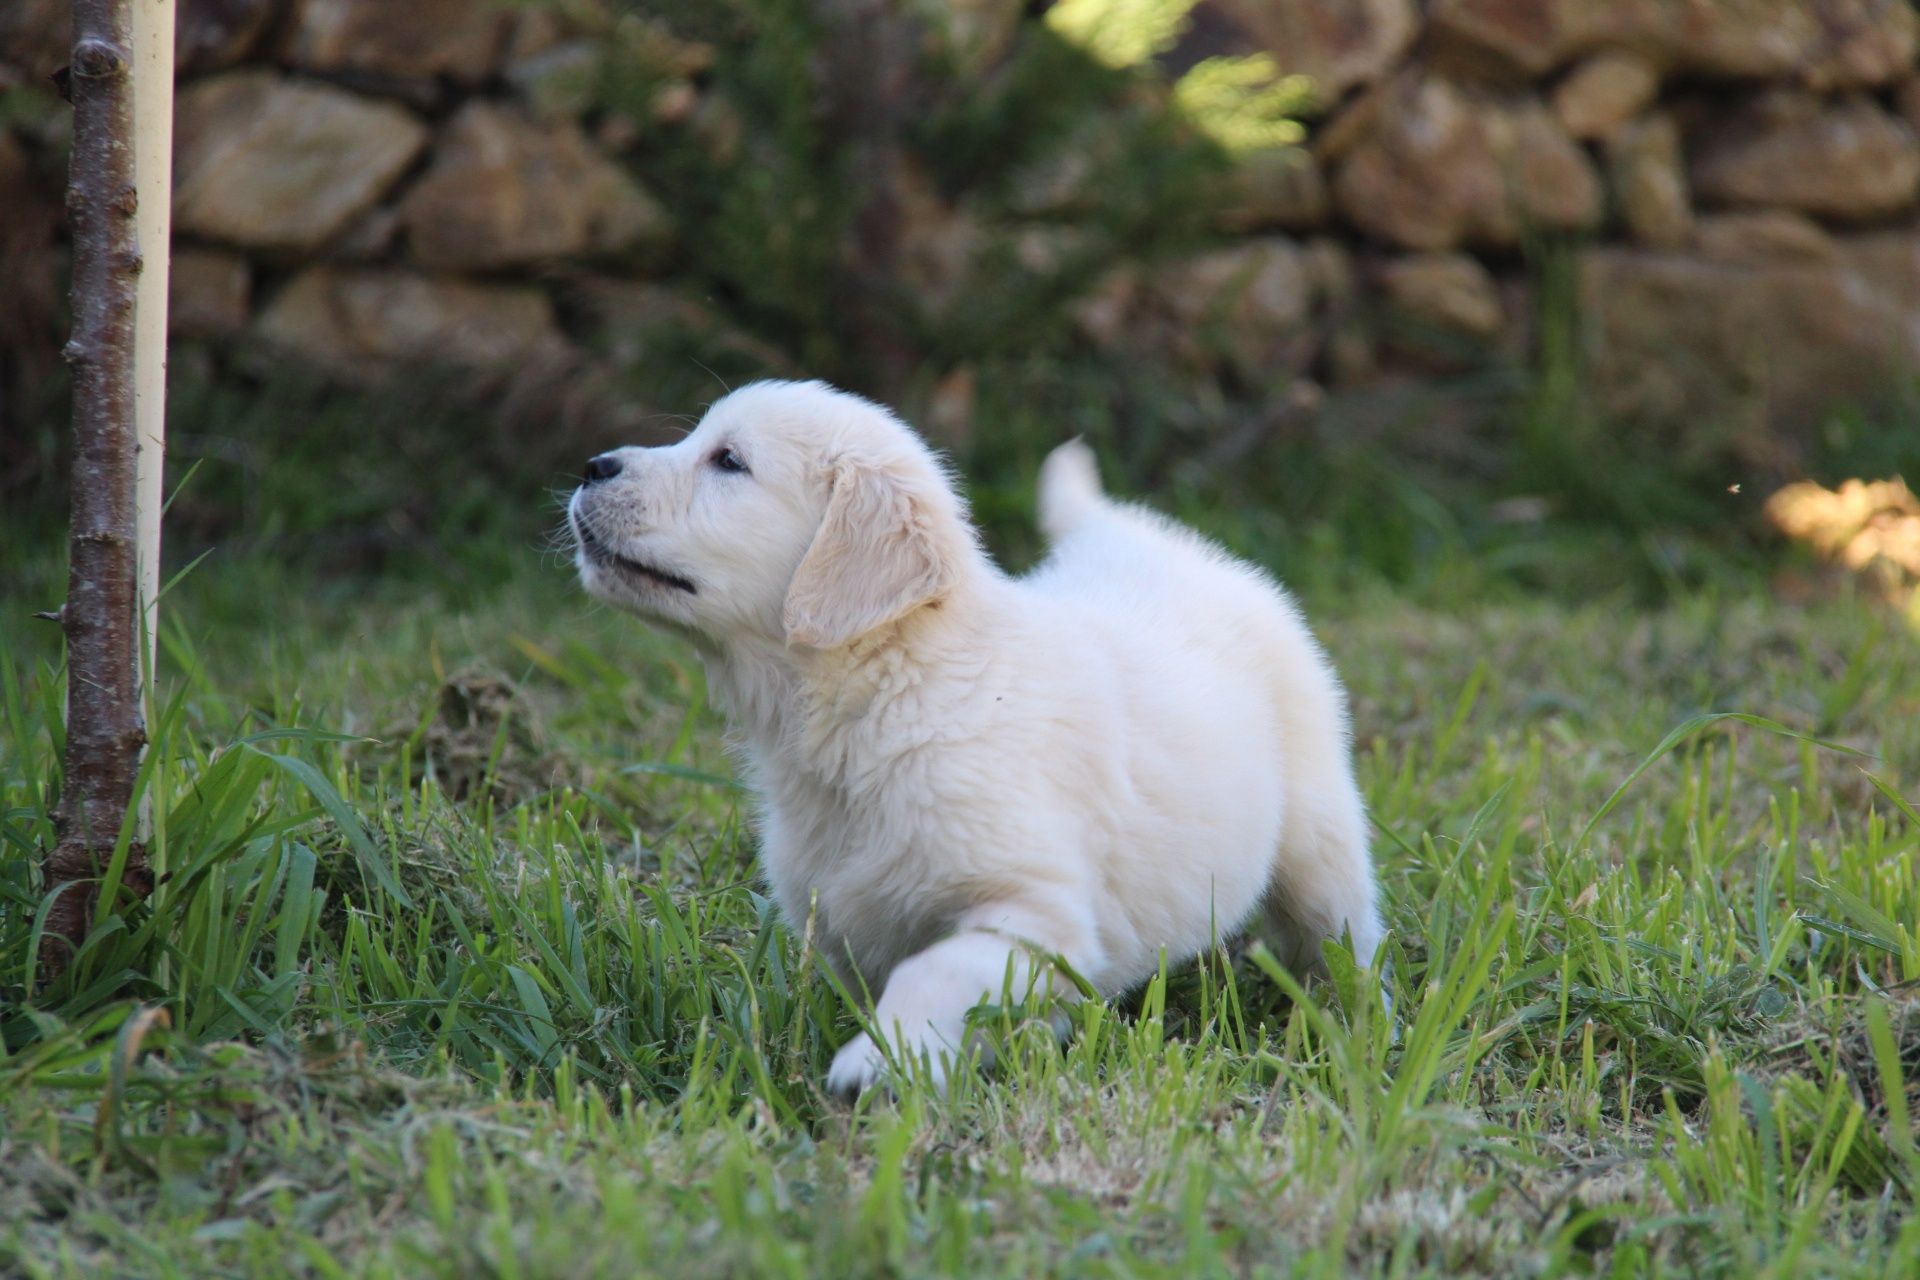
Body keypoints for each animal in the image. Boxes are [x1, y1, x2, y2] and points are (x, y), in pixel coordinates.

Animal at [564, 378, 1382, 1090]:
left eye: (728, 461)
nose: (591, 465)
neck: (891, 689)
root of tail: (1142, 540)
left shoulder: (1036, 912)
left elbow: (937, 969)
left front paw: (876, 1063)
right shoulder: (846, 918)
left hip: (1318, 834)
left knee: (1342, 930)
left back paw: (1359, 1022)